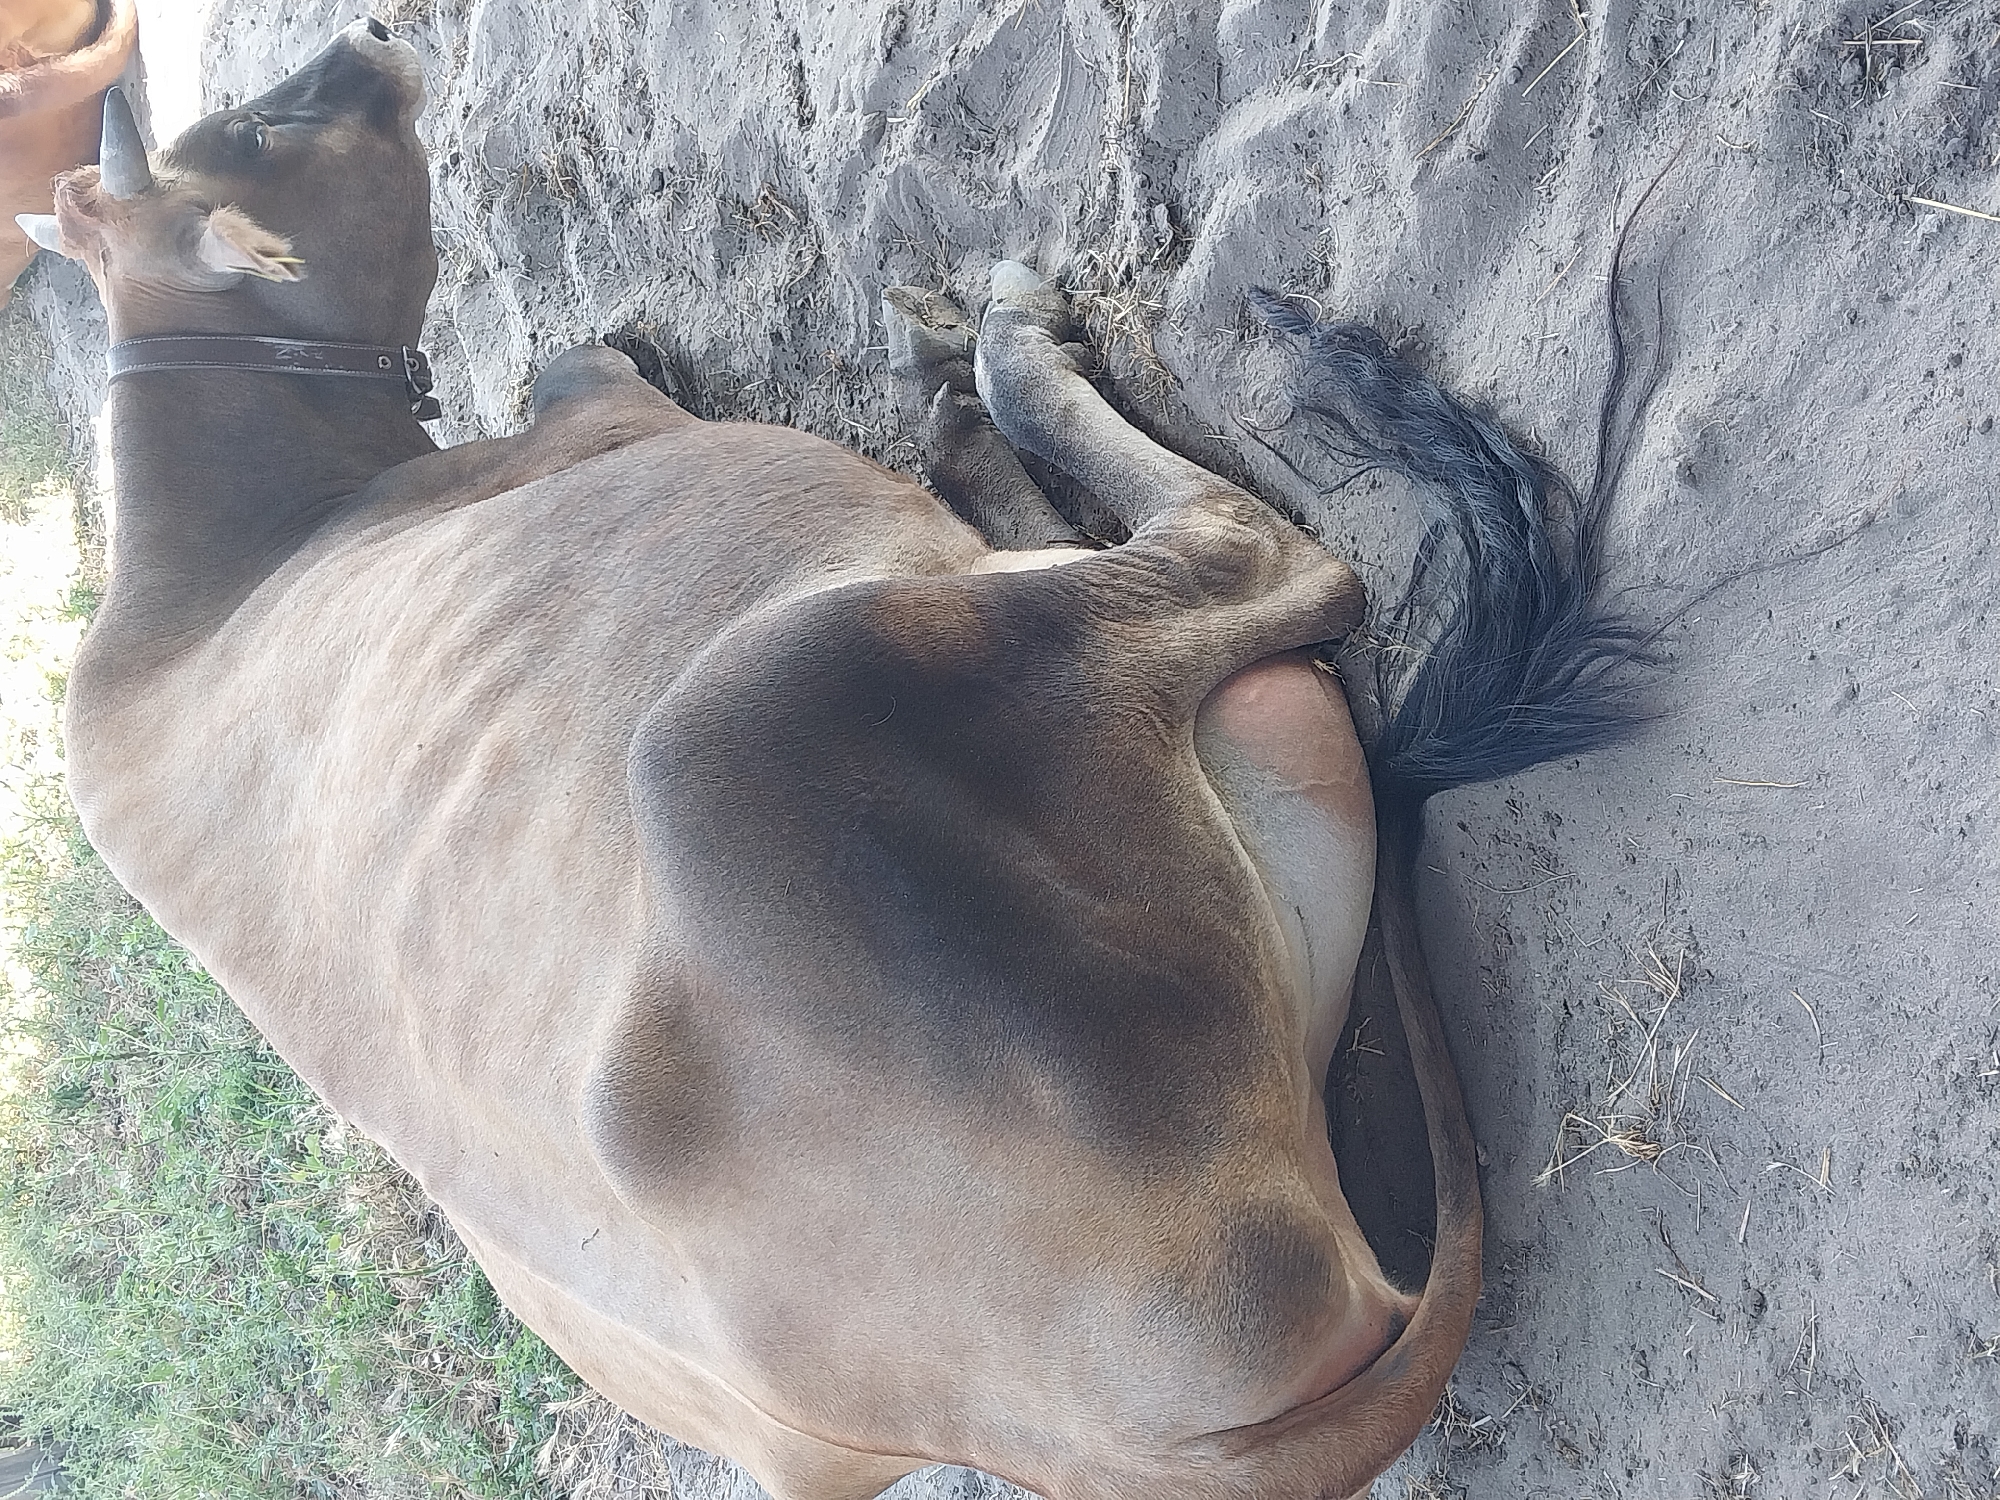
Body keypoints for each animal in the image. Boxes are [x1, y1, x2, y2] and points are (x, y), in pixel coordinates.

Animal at [20, 21, 1647, 1500]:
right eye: (268, 125)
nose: (366, 40)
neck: (233, 545)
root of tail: (1062, 1435)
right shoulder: (599, 406)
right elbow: (582, 356)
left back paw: (957, 389)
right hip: (753, 707)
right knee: (1272, 557)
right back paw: (1014, 348)